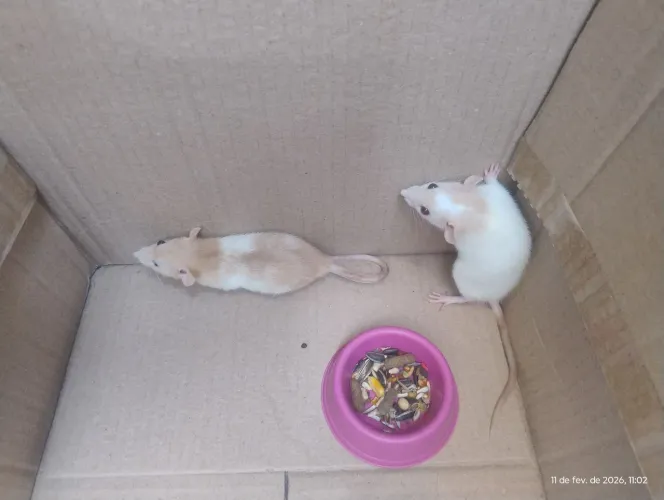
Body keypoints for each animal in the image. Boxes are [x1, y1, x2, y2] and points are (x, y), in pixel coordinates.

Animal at [400, 163, 531, 433]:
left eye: (424, 211)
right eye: (432, 185)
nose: (403, 192)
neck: (469, 207)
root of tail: (495, 296)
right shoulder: (497, 195)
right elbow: (494, 184)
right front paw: (490, 174)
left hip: (460, 273)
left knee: (468, 298)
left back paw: (450, 299)